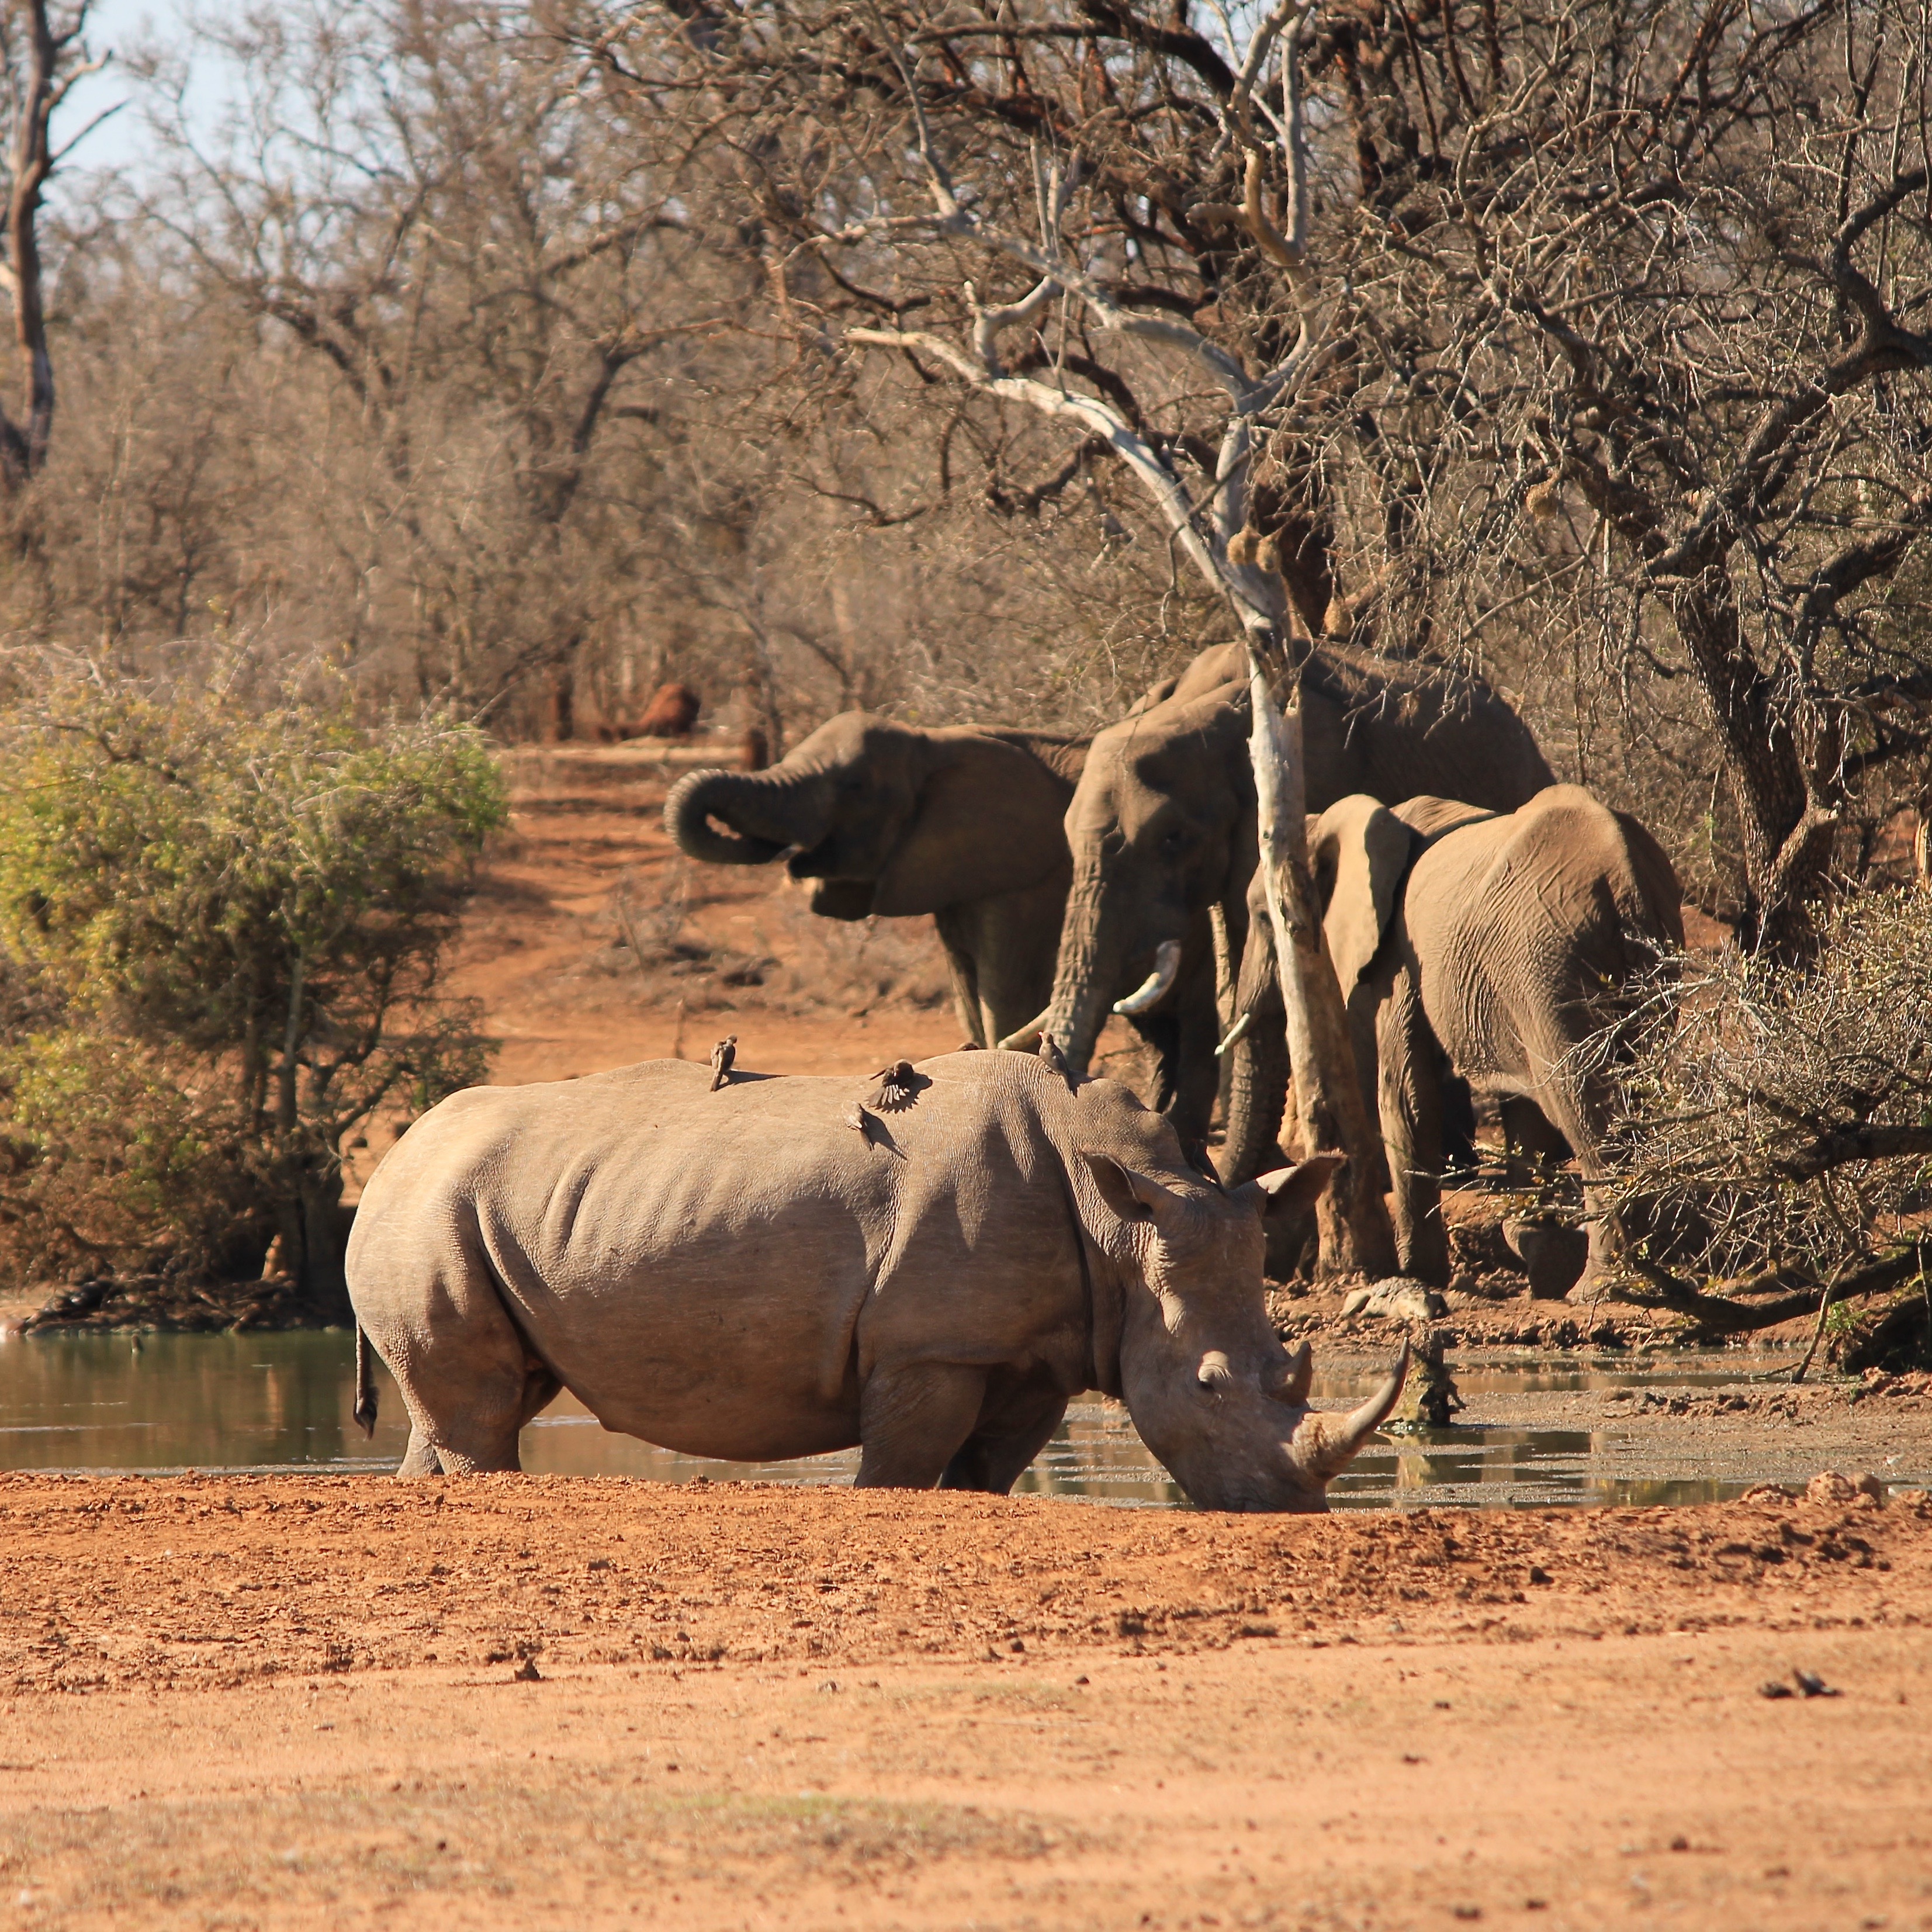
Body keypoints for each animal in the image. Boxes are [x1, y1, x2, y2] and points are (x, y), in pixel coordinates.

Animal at [345, 1048, 1407, 1511]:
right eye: (1207, 1385)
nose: (1291, 1507)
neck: (1128, 1219)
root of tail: (389, 1158)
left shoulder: (1033, 1352)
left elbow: (987, 1469)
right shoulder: (929, 1349)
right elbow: (900, 1466)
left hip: (465, 1205)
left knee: (475, 1404)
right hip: (425, 1209)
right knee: (481, 1408)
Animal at [666, 714, 1087, 1048]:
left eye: (855, 787)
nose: (788, 853)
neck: (935, 744)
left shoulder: (1031, 887)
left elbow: (1011, 1005)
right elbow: (970, 1003)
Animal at [1286, 787, 1685, 1296]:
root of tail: (1626, 879)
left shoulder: (1399, 962)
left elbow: (1406, 1098)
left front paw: (1420, 1275)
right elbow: (1522, 1110)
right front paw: (1532, 1243)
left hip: (1551, 965)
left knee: (1584, 1110)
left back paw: (1600, 1288)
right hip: (1633, 960)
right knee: (1628, 1089)